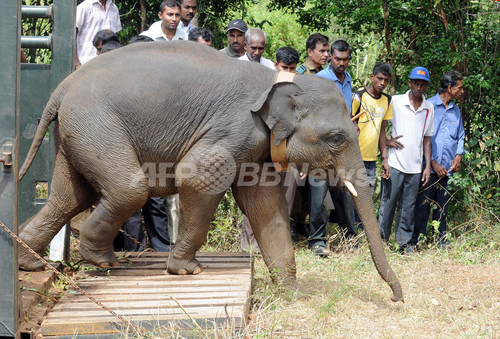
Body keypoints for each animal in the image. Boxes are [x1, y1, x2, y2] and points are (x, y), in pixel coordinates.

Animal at [17, 40, 404, 302]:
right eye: (336, 138)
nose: (397, 298)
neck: (279, 80)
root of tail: (62, 87)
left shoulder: (257, 147)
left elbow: (266, 205)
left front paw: (292, 293)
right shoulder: (234, 129)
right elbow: (199, 177)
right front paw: (186, 270)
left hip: (76, 131)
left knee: (69, 197)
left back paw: (29, 262)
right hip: (95, 123)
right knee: (128, 188)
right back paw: (101, 258)